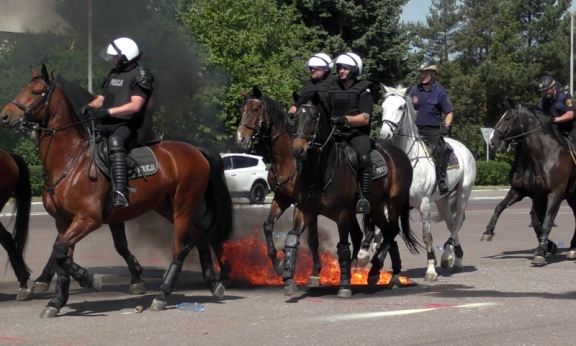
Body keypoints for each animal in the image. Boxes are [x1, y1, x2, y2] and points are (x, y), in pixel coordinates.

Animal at [1, 63, 234, 318]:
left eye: (36, 92)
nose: (5, 116)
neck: (70, 160)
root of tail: (195, 150)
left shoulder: (88, 219)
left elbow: (61, 249)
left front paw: (90, 280)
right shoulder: (64, 221)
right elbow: (62, 255)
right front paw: (56, 300)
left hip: (182, 207)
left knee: (181, 248)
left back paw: (163, 294)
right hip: (168, 207)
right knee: (199, 236)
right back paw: (213, 284)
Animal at [288, 92, 418, 298]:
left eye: (314, 117)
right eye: (295, 117)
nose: (298, 149)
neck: (320, 171)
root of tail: (401, 154)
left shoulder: (342, 214)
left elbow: (343, 248)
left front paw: (344, 285)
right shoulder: (304, 210)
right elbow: (293, 239)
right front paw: (289, 280)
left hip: (393, 203)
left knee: (392, 230)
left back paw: (374, 270)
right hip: (376, 207)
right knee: (387, 232)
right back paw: (390, 273)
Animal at [378, 84, 476, 282]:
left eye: (401, 107)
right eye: (383, 106)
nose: (384, 134)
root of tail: (464, 148)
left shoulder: (423, 204)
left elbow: (427, 236)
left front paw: (431, 269)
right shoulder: (392, 202)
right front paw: (363, 257)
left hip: (463, 192)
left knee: (458, 220)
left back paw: (447, 256)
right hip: (442, 201)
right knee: (451, 222)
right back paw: (456, 259)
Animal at [488, 104, 576, 264]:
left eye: (508, 118)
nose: (492, 142)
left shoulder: (556, 194)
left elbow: (546, 222)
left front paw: (541, 251)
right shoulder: (524, 192)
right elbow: (502, 207)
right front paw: (488, 231)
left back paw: (572, 248)